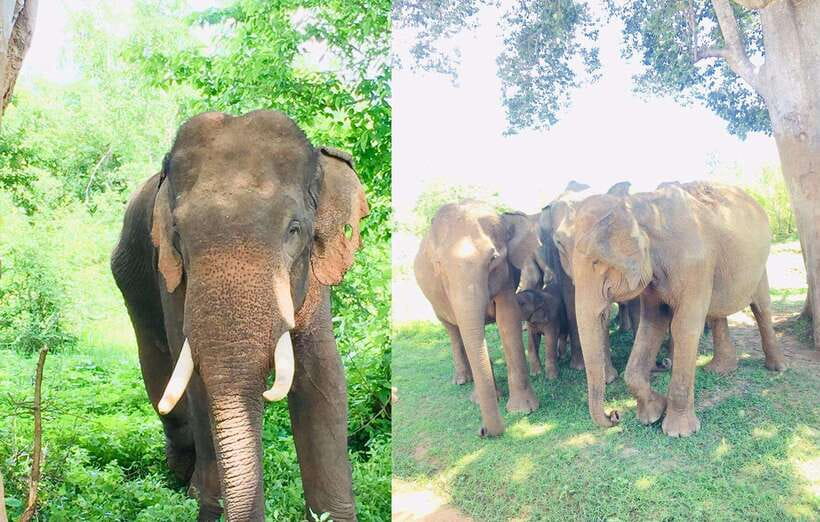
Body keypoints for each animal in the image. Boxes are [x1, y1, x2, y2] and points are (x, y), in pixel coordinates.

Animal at [111, 111, 369, 521]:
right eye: (178, 235)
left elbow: (323, 372)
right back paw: (184, 481)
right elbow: (194, 376)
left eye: (294, 230)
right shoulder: (169, 275)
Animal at [414, 200, 540, 437]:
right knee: (452, 331)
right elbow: (465, 327)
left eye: (493, 260)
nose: (482, 431)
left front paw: (523, 410)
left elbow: (508, 321)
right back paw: (462, 380)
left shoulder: (506, 278)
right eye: (438, 265)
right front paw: (478, 401)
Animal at [554, 181, 786, 436]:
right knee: (718, 313)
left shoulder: (695, 266)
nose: (614, 415)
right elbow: (651, 325)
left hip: (760, 266)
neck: (638, 204)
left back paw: (777, 368)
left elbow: (684, 327)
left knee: (761, 307)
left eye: (597, 262)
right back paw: (721, 370)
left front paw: (678, 432)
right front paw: (652, 414)